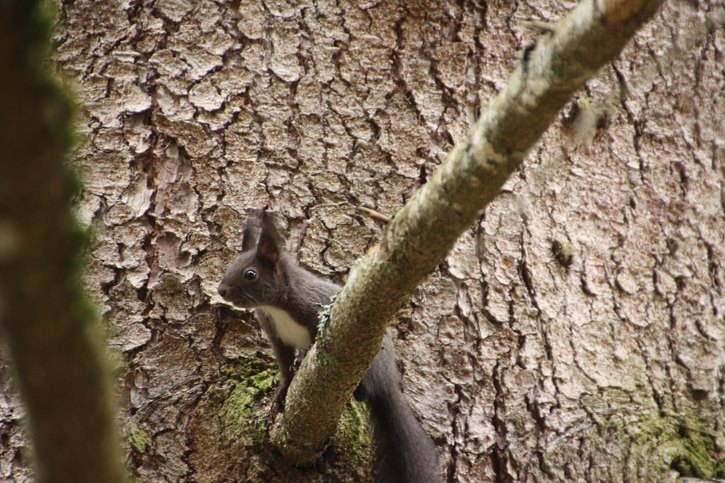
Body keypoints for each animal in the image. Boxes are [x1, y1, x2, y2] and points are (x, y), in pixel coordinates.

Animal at [217, 209, 442, 483]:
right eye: (230, 266)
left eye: (250, 274)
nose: (221, 290)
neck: (277, 306)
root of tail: (388, 381)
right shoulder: (276, 334)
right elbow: (284, 363)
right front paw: (283, 389)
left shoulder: (312, 310)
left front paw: (301, 363)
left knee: (366, 390)